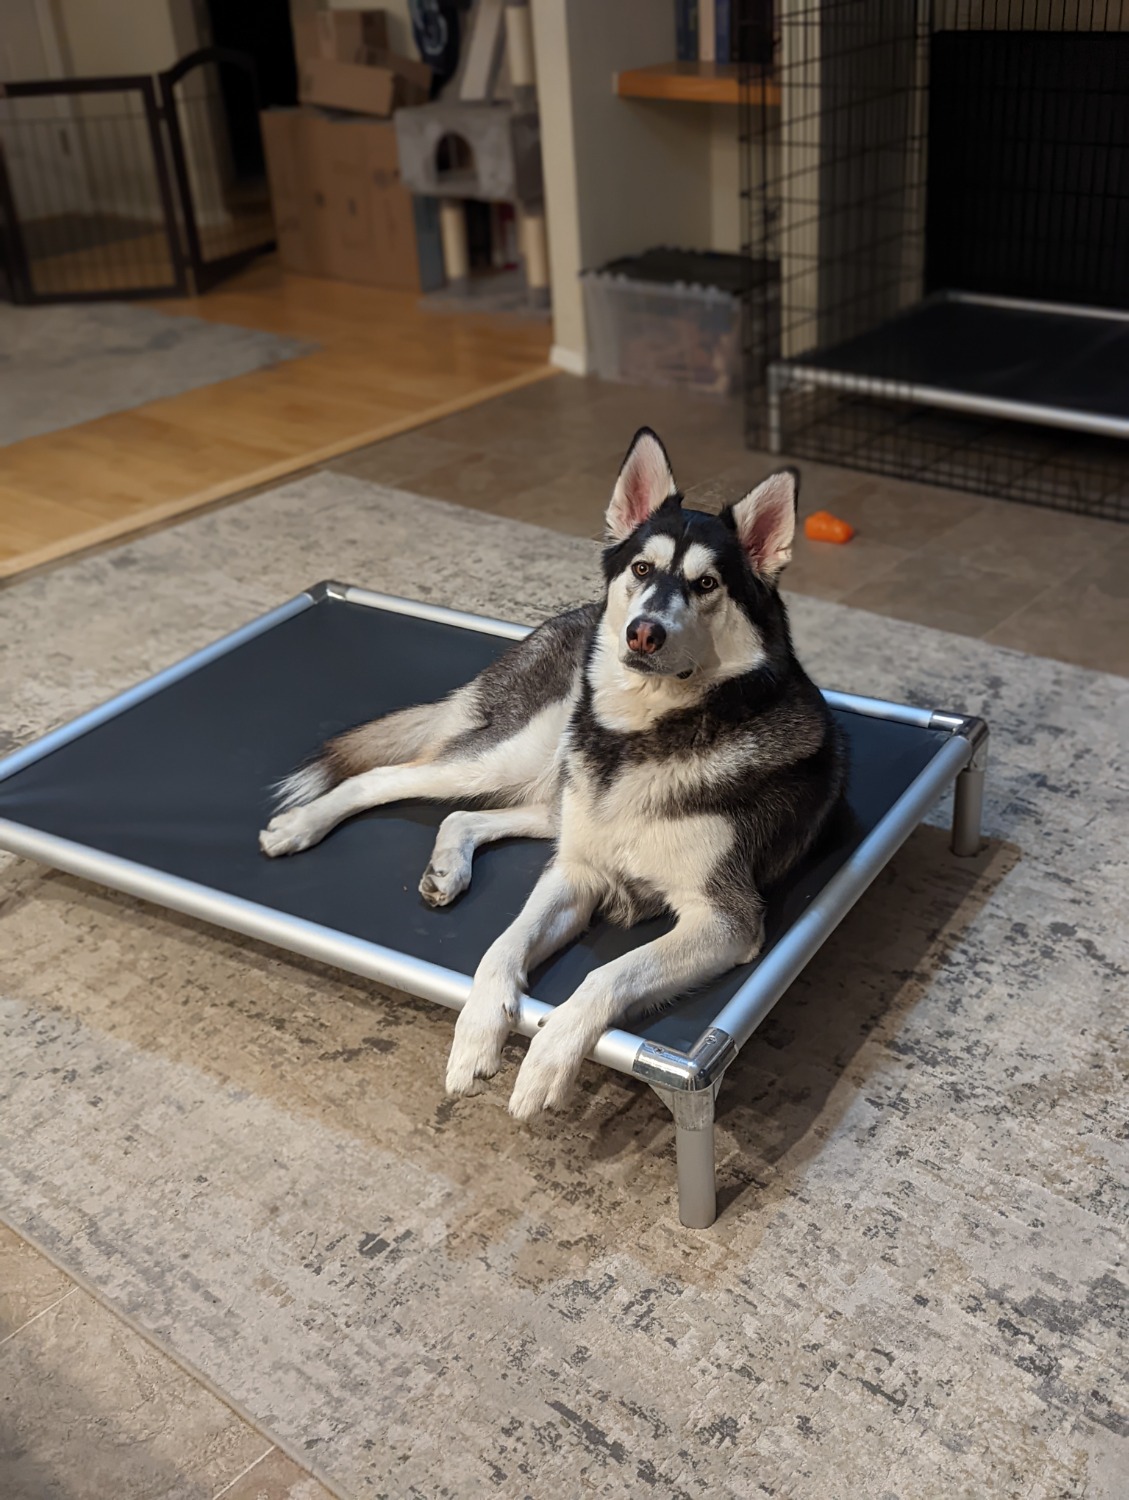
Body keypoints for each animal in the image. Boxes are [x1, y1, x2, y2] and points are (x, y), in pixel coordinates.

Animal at [259, 429, 839, 1122]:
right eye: (642, 570)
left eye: (706, 584)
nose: (643, 633)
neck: (646, 734)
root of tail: (561, 620)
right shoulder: (578, 874)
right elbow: (502, 947)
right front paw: (477, 1031)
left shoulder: (724, 918)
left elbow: (607, 973)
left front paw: (546, 1061)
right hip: (509, 758)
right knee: (383, 780)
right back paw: (300, 826)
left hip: (554, 795)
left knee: (466, 814)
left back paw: (446, 866)